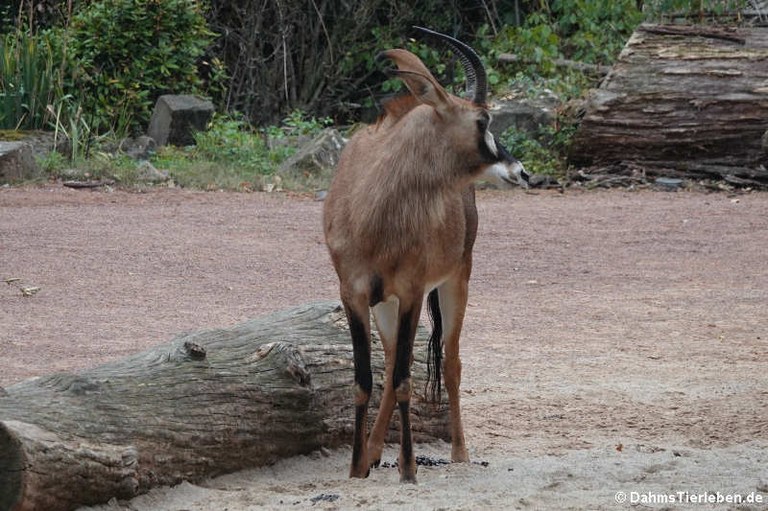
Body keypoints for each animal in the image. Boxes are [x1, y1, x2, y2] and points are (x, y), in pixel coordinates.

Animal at [322, 28, 528, 484]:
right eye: (483, 121)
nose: (521, 171)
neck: (375, 206)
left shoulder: (413, 293)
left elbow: (404, 379)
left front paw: (409, 469)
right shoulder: (353, 294)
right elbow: (365, 379)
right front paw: (356, 468)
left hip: (455, 280)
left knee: (450, 362)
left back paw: (459, 452)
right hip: (385, 304)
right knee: (391, 361)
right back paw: (374, 453)